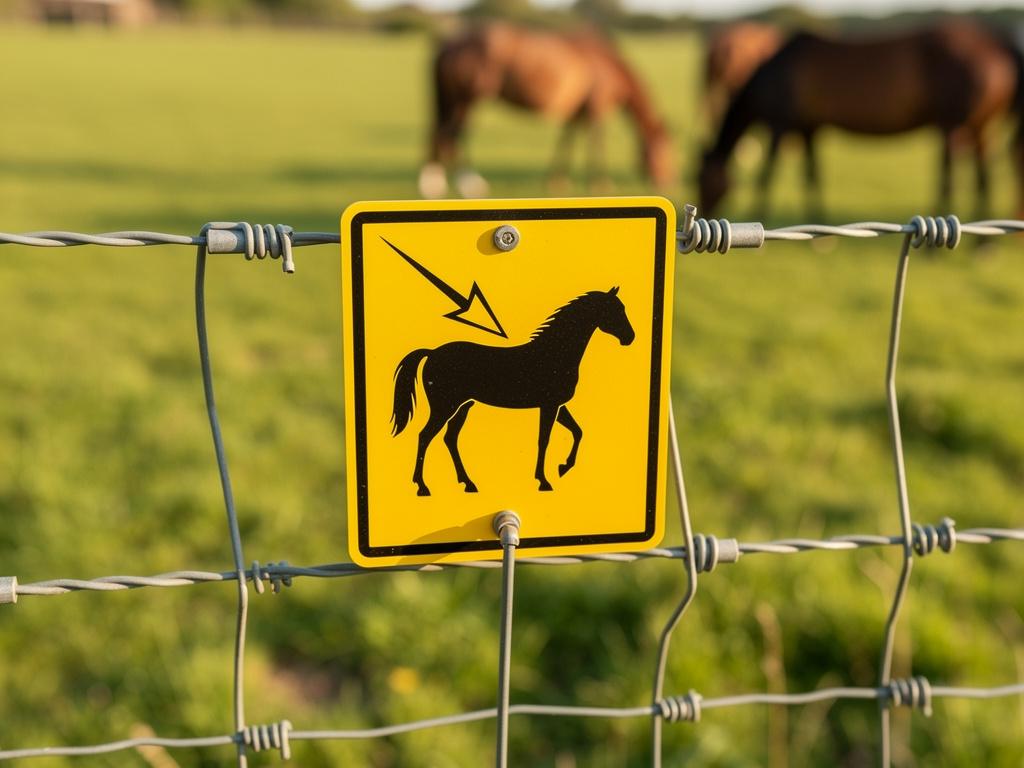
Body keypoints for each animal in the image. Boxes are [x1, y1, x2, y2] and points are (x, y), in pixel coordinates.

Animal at [391, 288, 634, 497]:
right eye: (615, 310)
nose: (630, 337)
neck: (554, 353)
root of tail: (432, 353)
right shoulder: (549, 405)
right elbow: (544, 440)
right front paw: (544, 481)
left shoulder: (558, 405)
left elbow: (577, 431)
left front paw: (563, 467)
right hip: (444, 407)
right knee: (425, 436)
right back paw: (423, 487)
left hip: (463, 406)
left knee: (449, 439)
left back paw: (468, 483)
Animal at [418, 22, 676, 199]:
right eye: (663, 151)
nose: (666, 182)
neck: (607, 65)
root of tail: (450, 41)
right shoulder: (596, 108)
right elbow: (596, 144)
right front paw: (600, 183)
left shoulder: (576, 112)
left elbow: (566, 142)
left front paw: (557, 182)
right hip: (468, 98)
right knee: (451, 134)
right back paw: (467, 185)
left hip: (454, 99)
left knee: (441, 132)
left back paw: (434, 183)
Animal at [698, 20, 1024, 219]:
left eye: (702, 181)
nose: (703, 213)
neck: (776, 70)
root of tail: (998, 43)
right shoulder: (808, 130)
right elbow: (812, 175)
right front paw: (819, 230)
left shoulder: (781, 125)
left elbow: (767, 174)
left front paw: (759, 219)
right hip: (979, 127)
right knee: (983, 178)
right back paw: (983, 248)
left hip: (952, 126)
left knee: (948, 180)